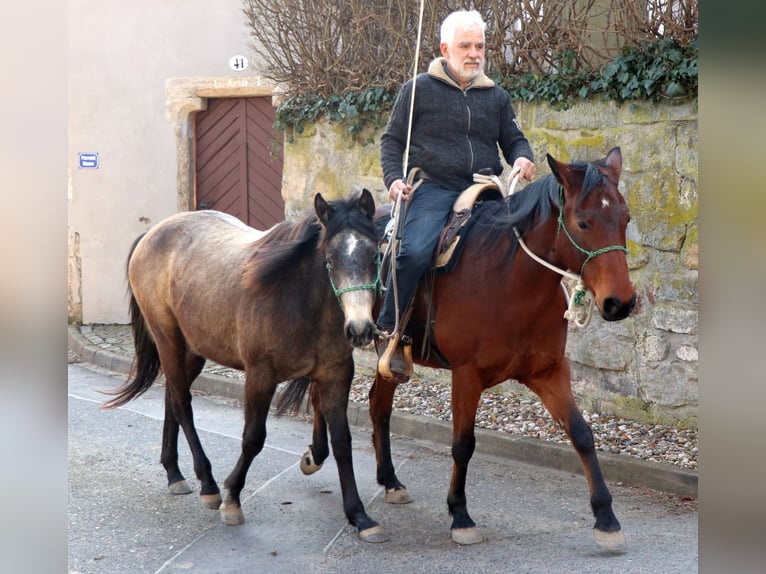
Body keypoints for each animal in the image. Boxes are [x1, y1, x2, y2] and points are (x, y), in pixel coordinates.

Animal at [102, 189, 390, 544]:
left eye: (374, 256)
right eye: (330, 259)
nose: (360, 329)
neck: (297, 301)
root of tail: (152, 234)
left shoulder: (335, 377)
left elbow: (342, 443)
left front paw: (360, 516)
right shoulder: (260, 377)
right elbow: (253, 437)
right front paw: (232, 498)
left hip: (194, 349)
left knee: (172, 395)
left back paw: (174, 473)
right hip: (168, 339)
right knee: (181, 403)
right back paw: (208, 484)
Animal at [370, 148, 636, 552]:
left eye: (625, 218)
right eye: (584, 222)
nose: (620, 302)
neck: (510, 281)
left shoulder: (549, 373)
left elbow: (581, 434)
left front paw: (606, 519)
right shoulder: (466, 376)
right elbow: (463, 443)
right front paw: (460, 514)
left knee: (379, 406)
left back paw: (390, 481)